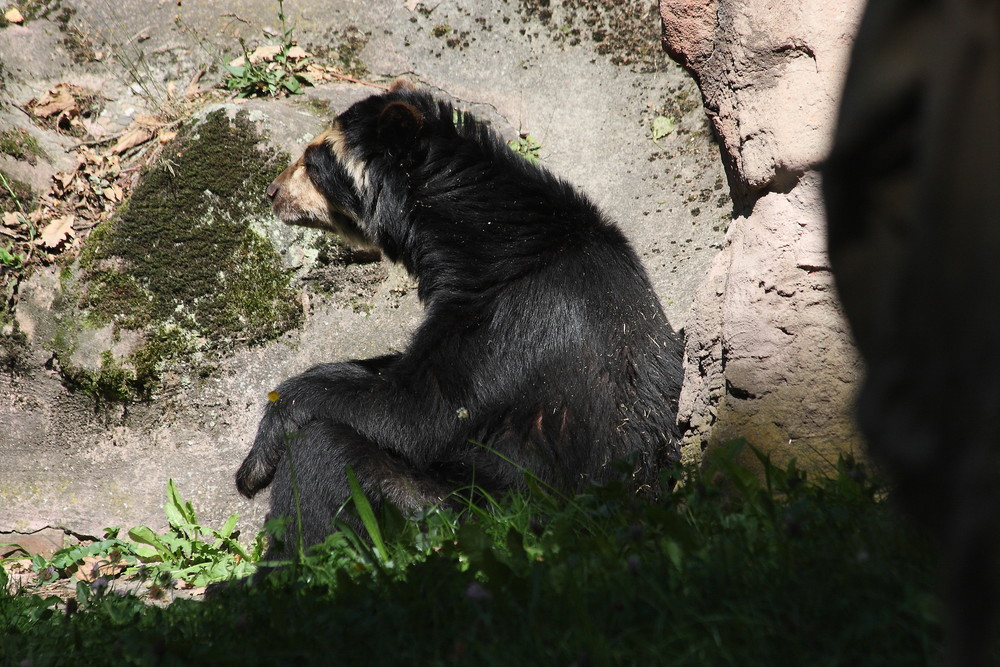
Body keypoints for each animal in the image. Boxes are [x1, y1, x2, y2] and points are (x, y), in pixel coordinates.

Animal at [238, 79, 684, 552]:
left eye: (311, 160)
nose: (272, 192)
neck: (477, 233)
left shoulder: (507, 316)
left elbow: (419, 410)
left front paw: (256, 459)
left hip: (456, 514)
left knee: (324, 450)